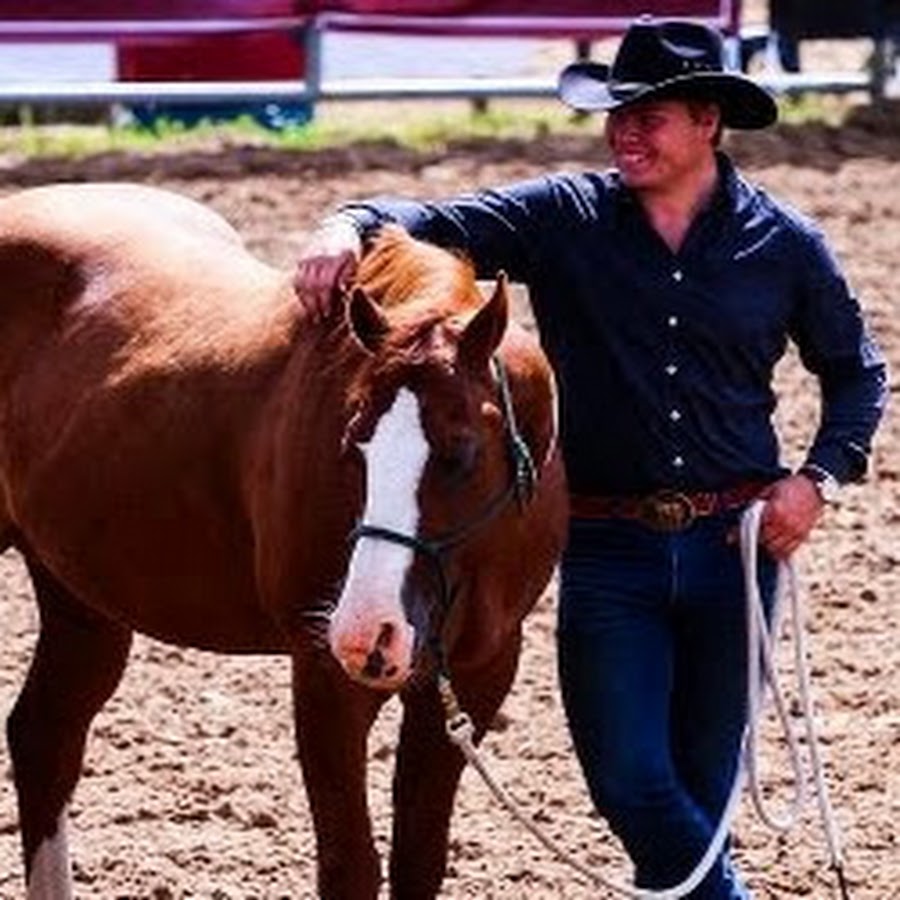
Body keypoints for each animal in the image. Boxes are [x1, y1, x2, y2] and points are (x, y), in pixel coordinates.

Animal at [0, 183, 568, 899]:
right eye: (353, 443)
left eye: (460, 453)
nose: (367, 632)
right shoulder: (327, 678)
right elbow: (351, 865)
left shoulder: (479, 671)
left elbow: (420, 858)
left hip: (81, 598)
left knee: (45, 736)